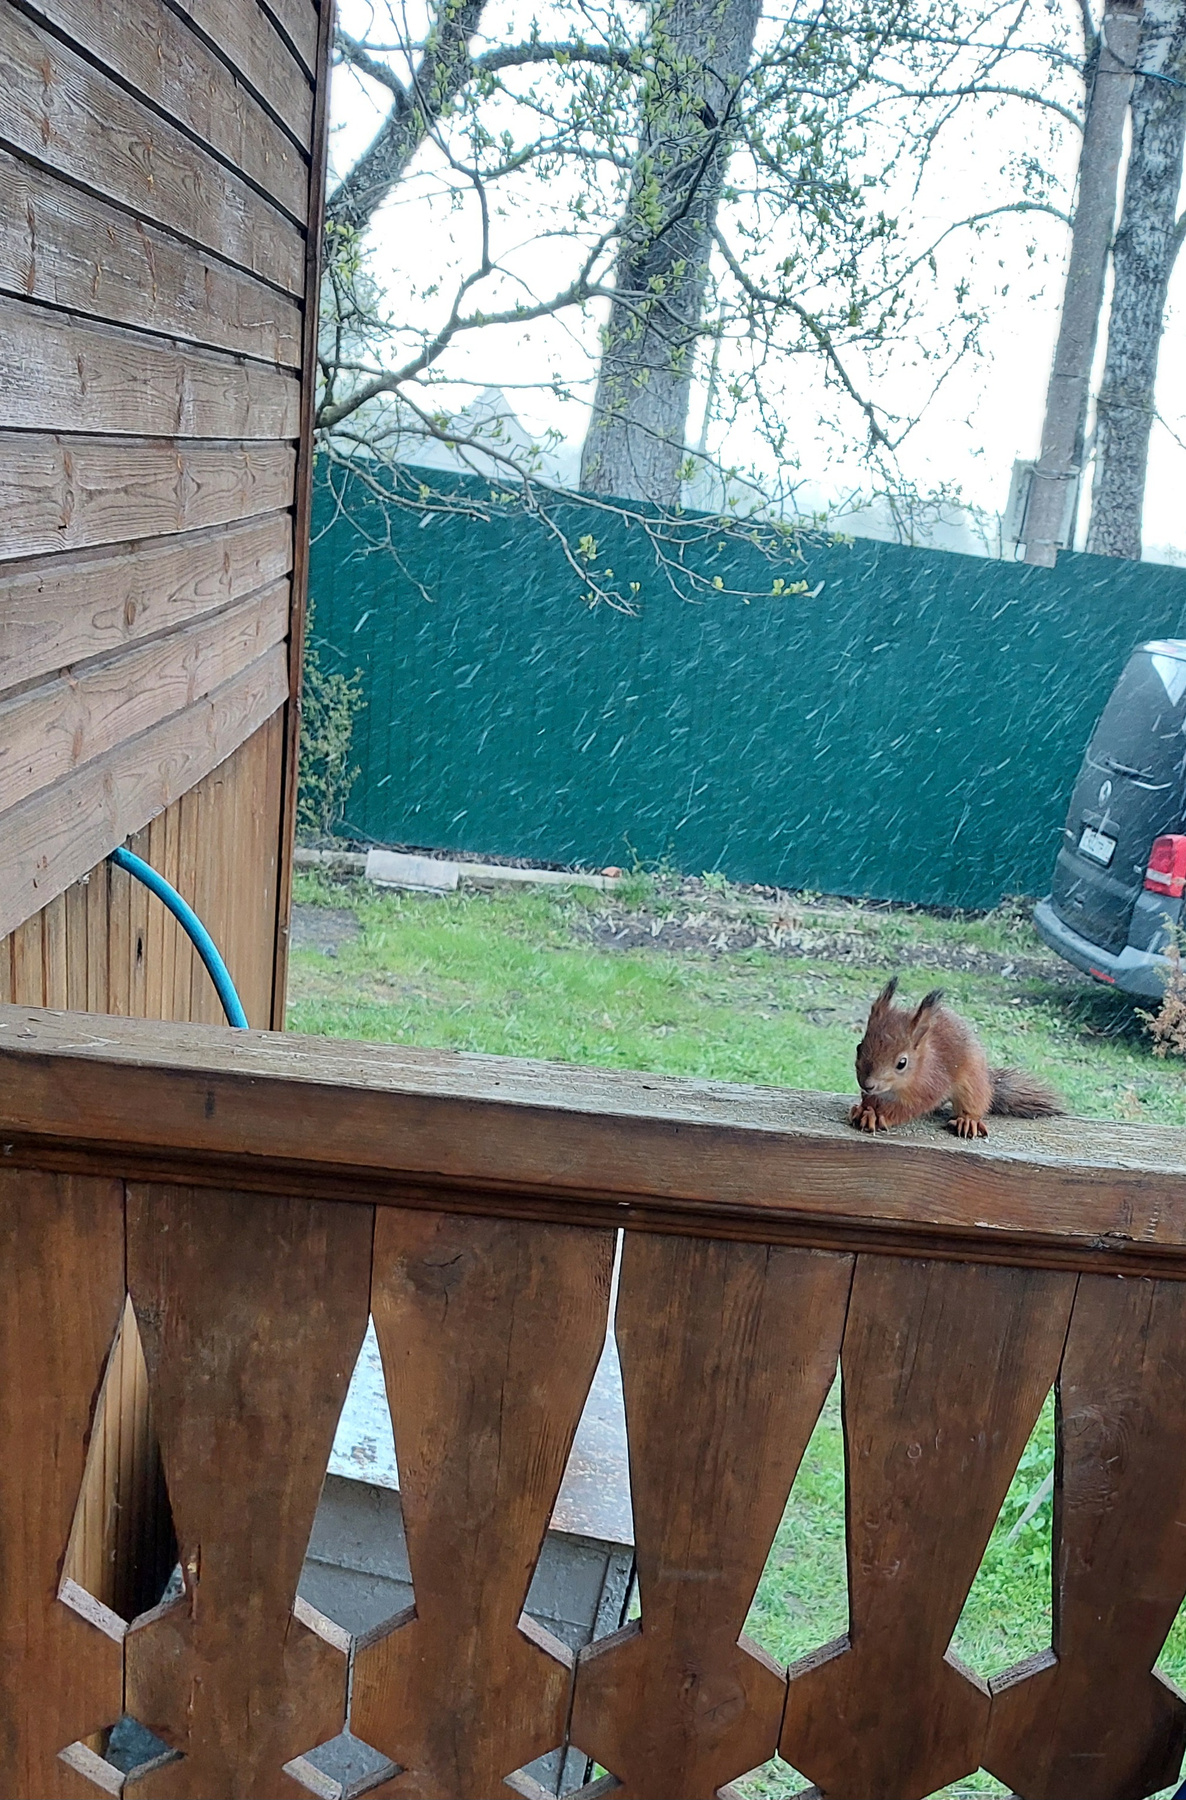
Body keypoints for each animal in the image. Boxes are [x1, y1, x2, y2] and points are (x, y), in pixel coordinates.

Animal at [850, 977, 1065, 1139]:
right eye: (859, 1047)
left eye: (901, 1063)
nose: (868, 1084)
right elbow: (869, 1100)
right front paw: (864, 1109)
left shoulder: (930, 1086)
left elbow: (907, 1109)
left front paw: (879, 1116)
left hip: (973, 1083)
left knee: (975, 1103)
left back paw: (968, 1121)